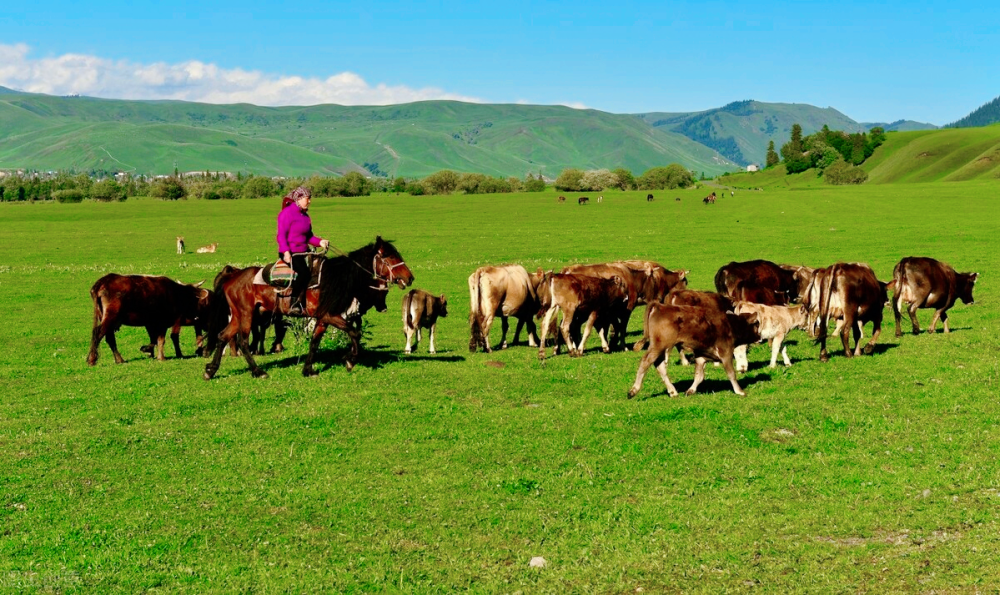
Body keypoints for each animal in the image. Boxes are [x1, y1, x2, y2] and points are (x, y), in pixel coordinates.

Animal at [204, 236, 414, 380]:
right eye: (389, 256)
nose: (410, 277)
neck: (335, 278)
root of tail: (232, 277)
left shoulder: (322, 319)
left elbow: (314, 342)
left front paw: (308, 370)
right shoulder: (330, 315)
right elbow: (354, 332)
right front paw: (350, 360)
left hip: (239, 315)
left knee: (222, 336)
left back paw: (210, 370)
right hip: (247, 314)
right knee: (243, 341)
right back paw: (258, 371)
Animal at [628, 304, 760, 398]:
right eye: (756, 324)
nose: (760, 337)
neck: (730, 324)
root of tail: (659, 306)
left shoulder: (701, 355)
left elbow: (699, 376)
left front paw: (690, 390)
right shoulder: (725, 352)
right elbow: (731, 373)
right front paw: (740, 391)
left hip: (661, 348)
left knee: (659, 365)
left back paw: (673, 391)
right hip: (658, 346)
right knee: (645, 362)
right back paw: (633, 390)